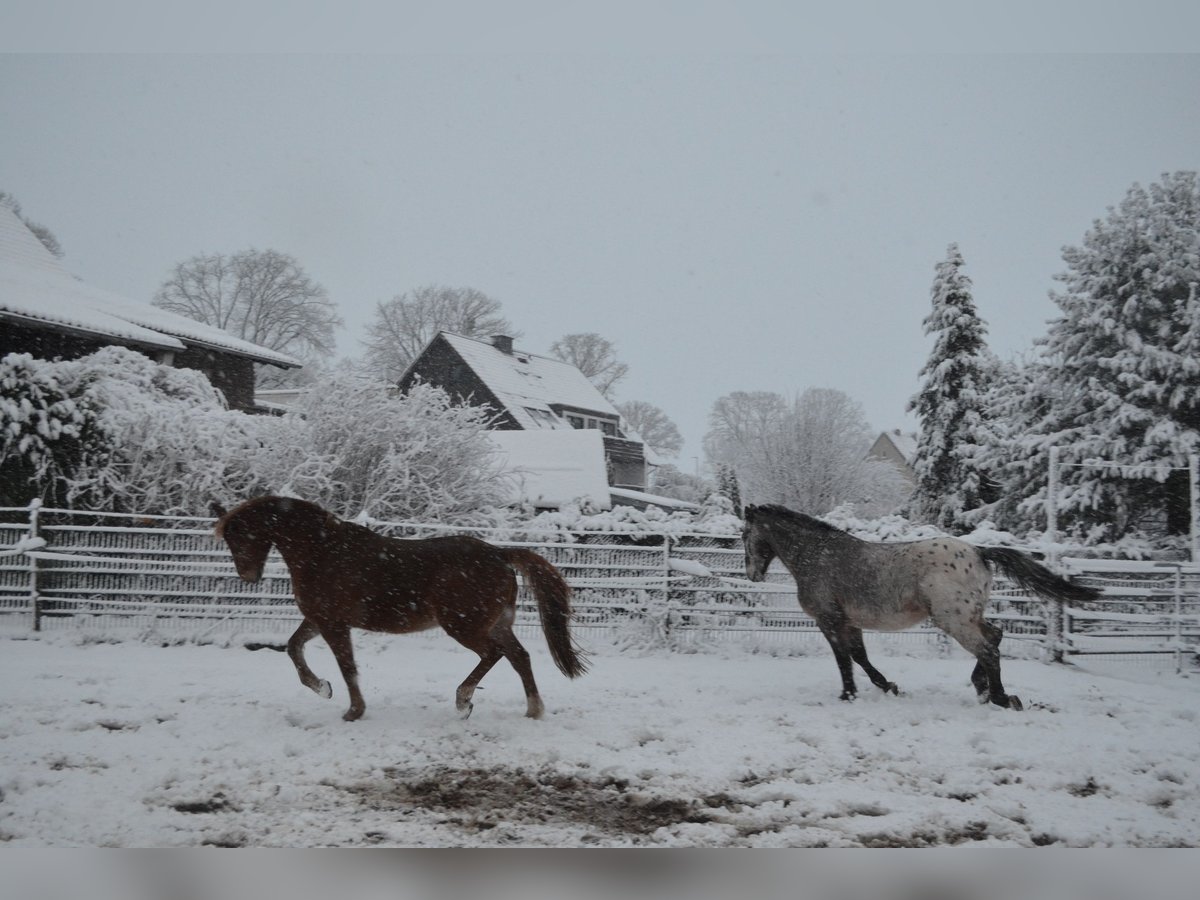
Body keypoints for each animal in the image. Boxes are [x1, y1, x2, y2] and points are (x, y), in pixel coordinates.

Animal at [219, 496, 590, 724]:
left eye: (238, 537)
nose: (247, 576)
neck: (322, 551)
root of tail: (500, 553)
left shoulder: (334, 624)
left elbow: (347, 667)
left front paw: (353, 711)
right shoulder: (318, 619)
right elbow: (294, 648)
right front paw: (322, 688)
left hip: (464, 625)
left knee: (494, 654)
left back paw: (463, 702)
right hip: (495, 623)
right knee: (519, 656)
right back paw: (533, 710)